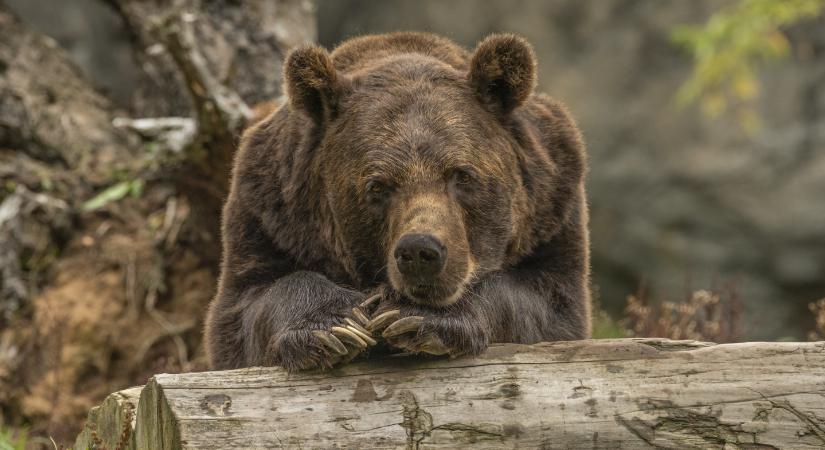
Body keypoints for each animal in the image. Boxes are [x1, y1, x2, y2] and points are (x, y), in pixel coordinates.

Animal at [206, 30, 592, 370]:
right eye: (377, 186)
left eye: (462, 175)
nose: (420, 251)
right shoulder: (269, 213)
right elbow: (247, 307)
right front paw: (335, 326)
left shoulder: (552, 209)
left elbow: (547, 304)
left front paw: (415, 316)